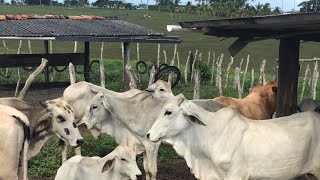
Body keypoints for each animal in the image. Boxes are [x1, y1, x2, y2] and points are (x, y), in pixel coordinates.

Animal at [81, 92, 226, 179]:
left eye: (94, 106)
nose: (85, 123)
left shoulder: (152, 145)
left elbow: (152, 170)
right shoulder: (144, 145)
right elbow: (145, 168)